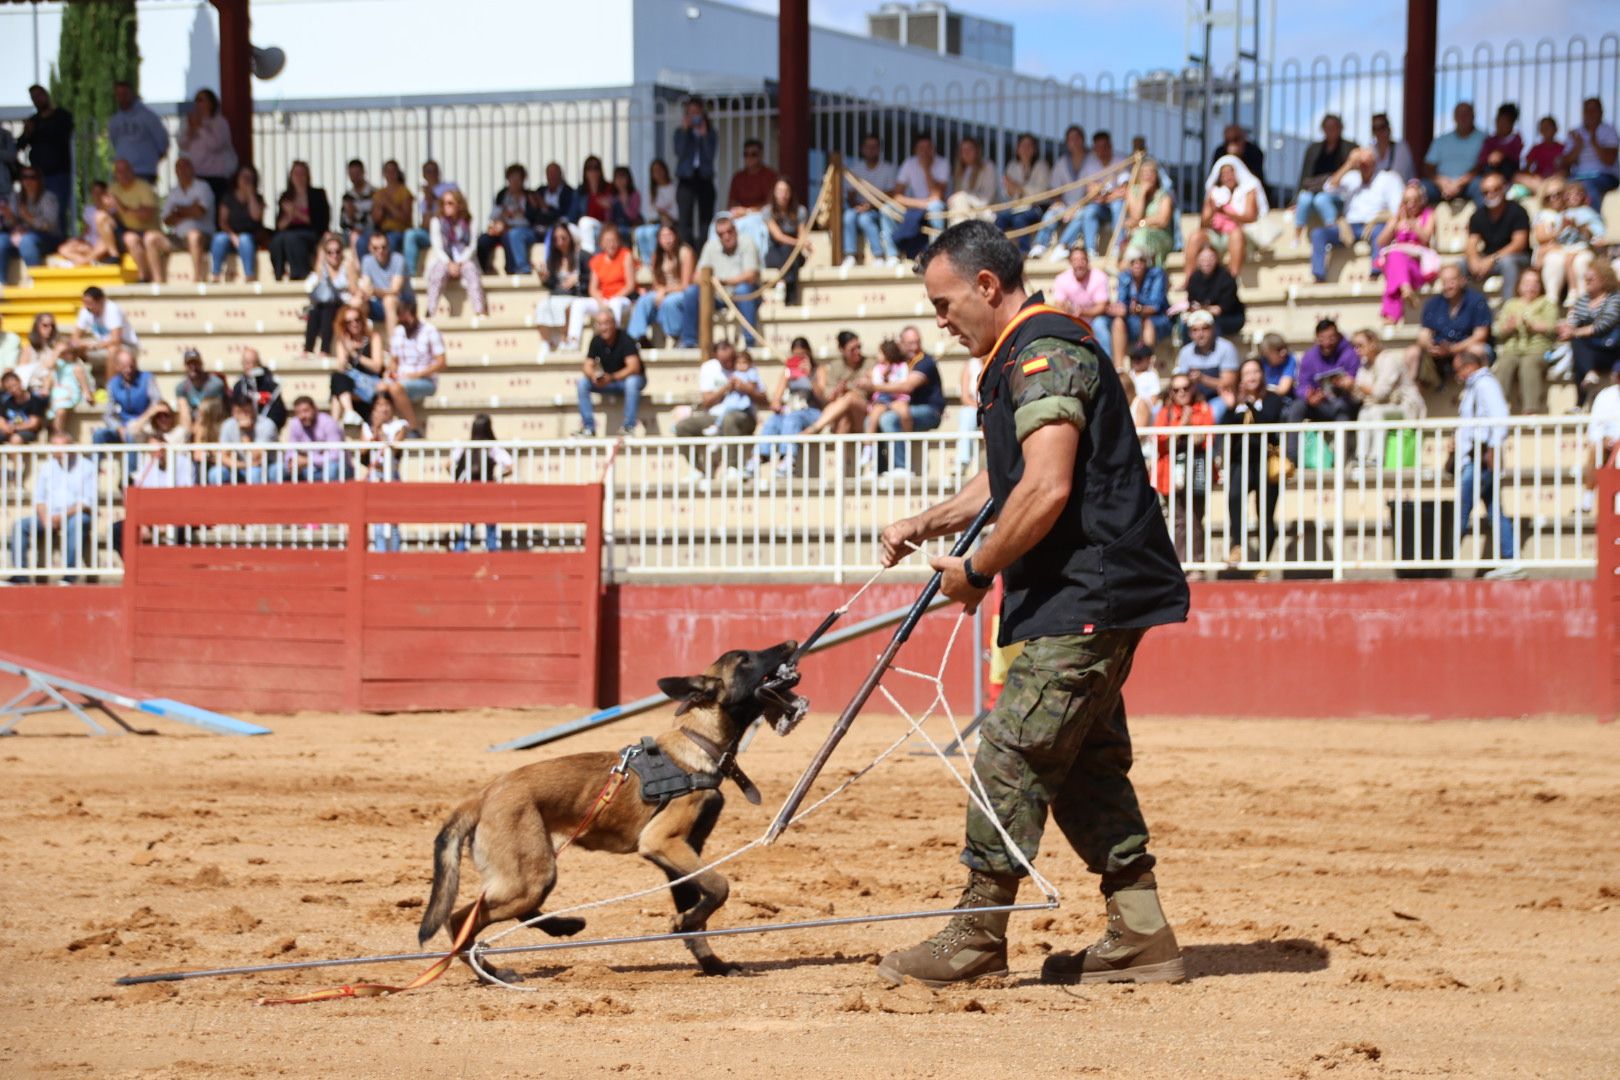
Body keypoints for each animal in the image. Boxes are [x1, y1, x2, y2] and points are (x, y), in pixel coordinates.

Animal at [411, 641, 803, 977]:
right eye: (745, 659)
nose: (791, 643)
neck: (697, 743)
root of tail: (483, 794)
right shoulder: (662, 842)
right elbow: (720, 886)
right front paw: (688, 925)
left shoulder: (680, 854)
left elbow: (699, 919)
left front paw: (712, 963)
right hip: (531, 874)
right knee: (460, 919)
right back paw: (492, 973)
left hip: (532, 871)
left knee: (501, 910)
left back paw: (560, 927)